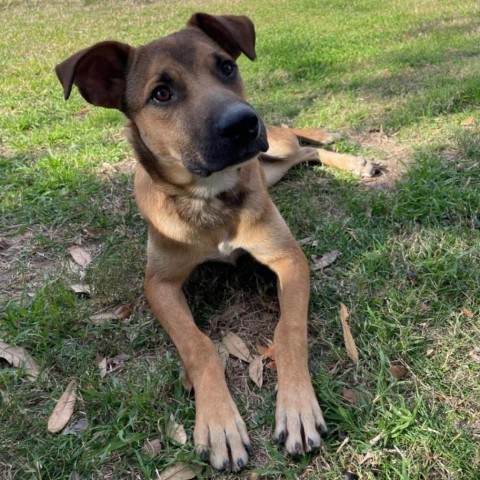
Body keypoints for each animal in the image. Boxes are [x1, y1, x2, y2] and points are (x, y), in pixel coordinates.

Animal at [56, 13, 376, 470]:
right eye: (161, 93)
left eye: (226, 66)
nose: (243, 123)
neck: (210, 198)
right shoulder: (158, 284)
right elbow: (199, 346)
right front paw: (220, 425)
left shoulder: (288, 259)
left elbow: (288, 328)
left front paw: (297, 408)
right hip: (270, 166)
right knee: (300, 155)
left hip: (272, 149)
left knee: (297, 143)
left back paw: (351, 158)